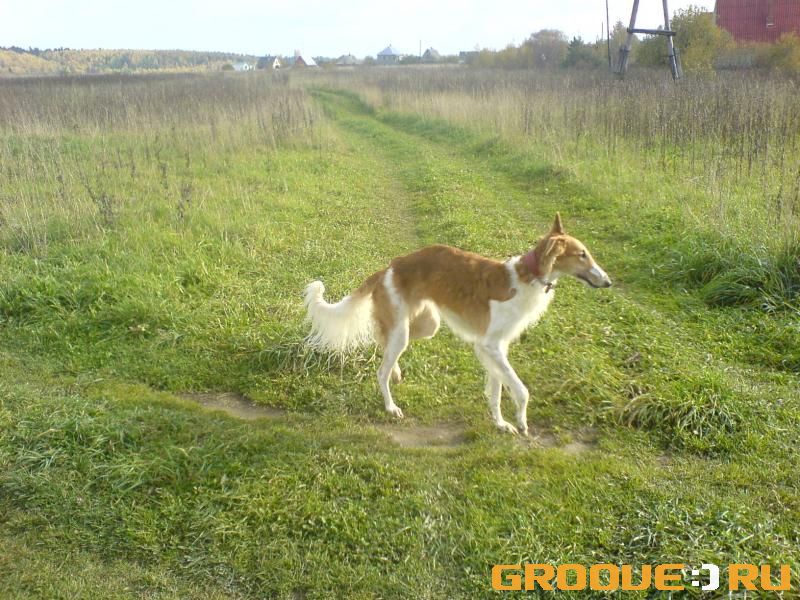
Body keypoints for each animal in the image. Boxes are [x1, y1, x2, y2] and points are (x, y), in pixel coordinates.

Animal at [304, 213, 611, 435]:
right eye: (582, 254)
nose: (608, 282)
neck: (526, 277)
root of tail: (389, 267)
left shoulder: (496, 348)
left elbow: (497, 390)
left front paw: (501, 423)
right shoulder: (490, 345)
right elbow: (521, 390)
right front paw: (522, 422)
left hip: (425, 324)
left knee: (382, 341)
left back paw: (396, 371)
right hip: (404, 330)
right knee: (380, 370)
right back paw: (391, 407)